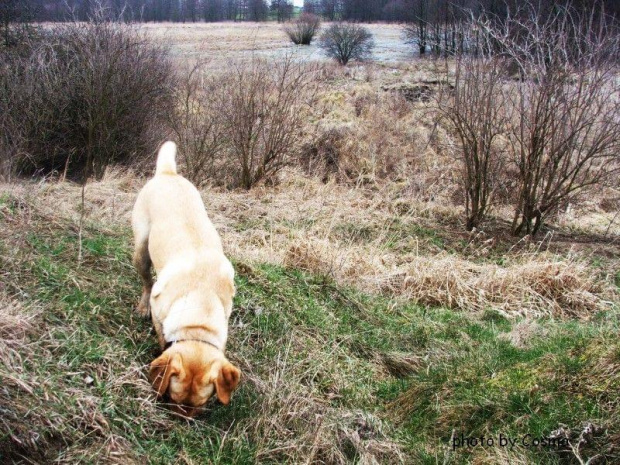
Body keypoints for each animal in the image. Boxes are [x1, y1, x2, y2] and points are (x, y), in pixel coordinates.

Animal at [133, 141, 240, 416]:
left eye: (200, 406)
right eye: (172, 397)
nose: (182, 421)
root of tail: (167, 173)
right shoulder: (159, 311)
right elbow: (163, 339)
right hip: (140, 251)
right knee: (147, 282)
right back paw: (141, 305)